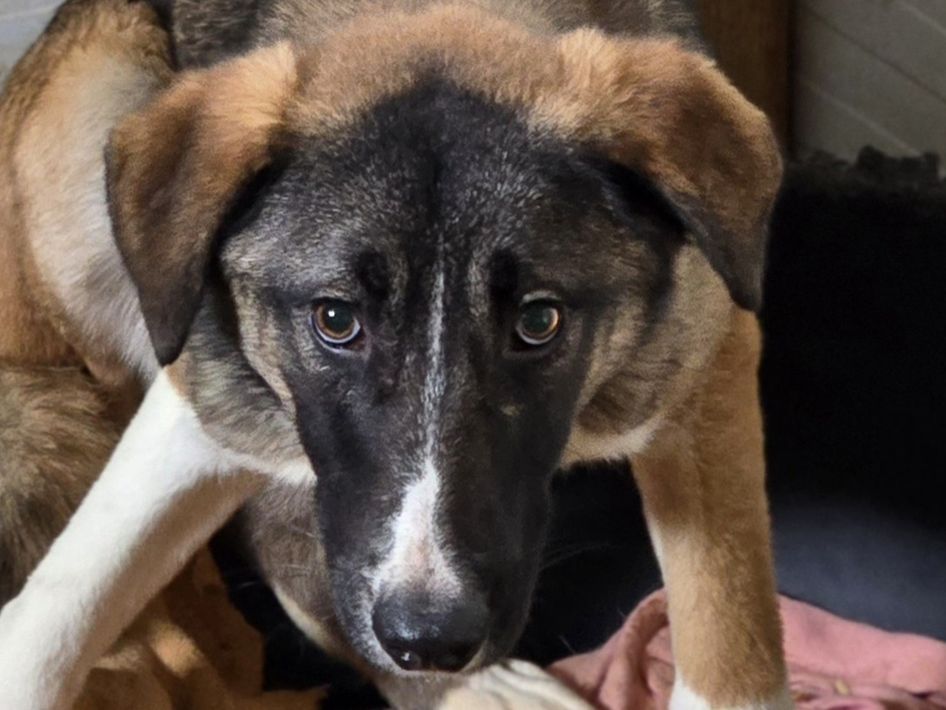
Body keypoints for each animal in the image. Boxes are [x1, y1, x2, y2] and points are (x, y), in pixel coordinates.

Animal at [0, 0, 788, 707]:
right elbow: (59, 607)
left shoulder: (710, 355)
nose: (431, 641)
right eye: (335, 319)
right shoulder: (200, 384)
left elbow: (729, 628)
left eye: (540, 320)